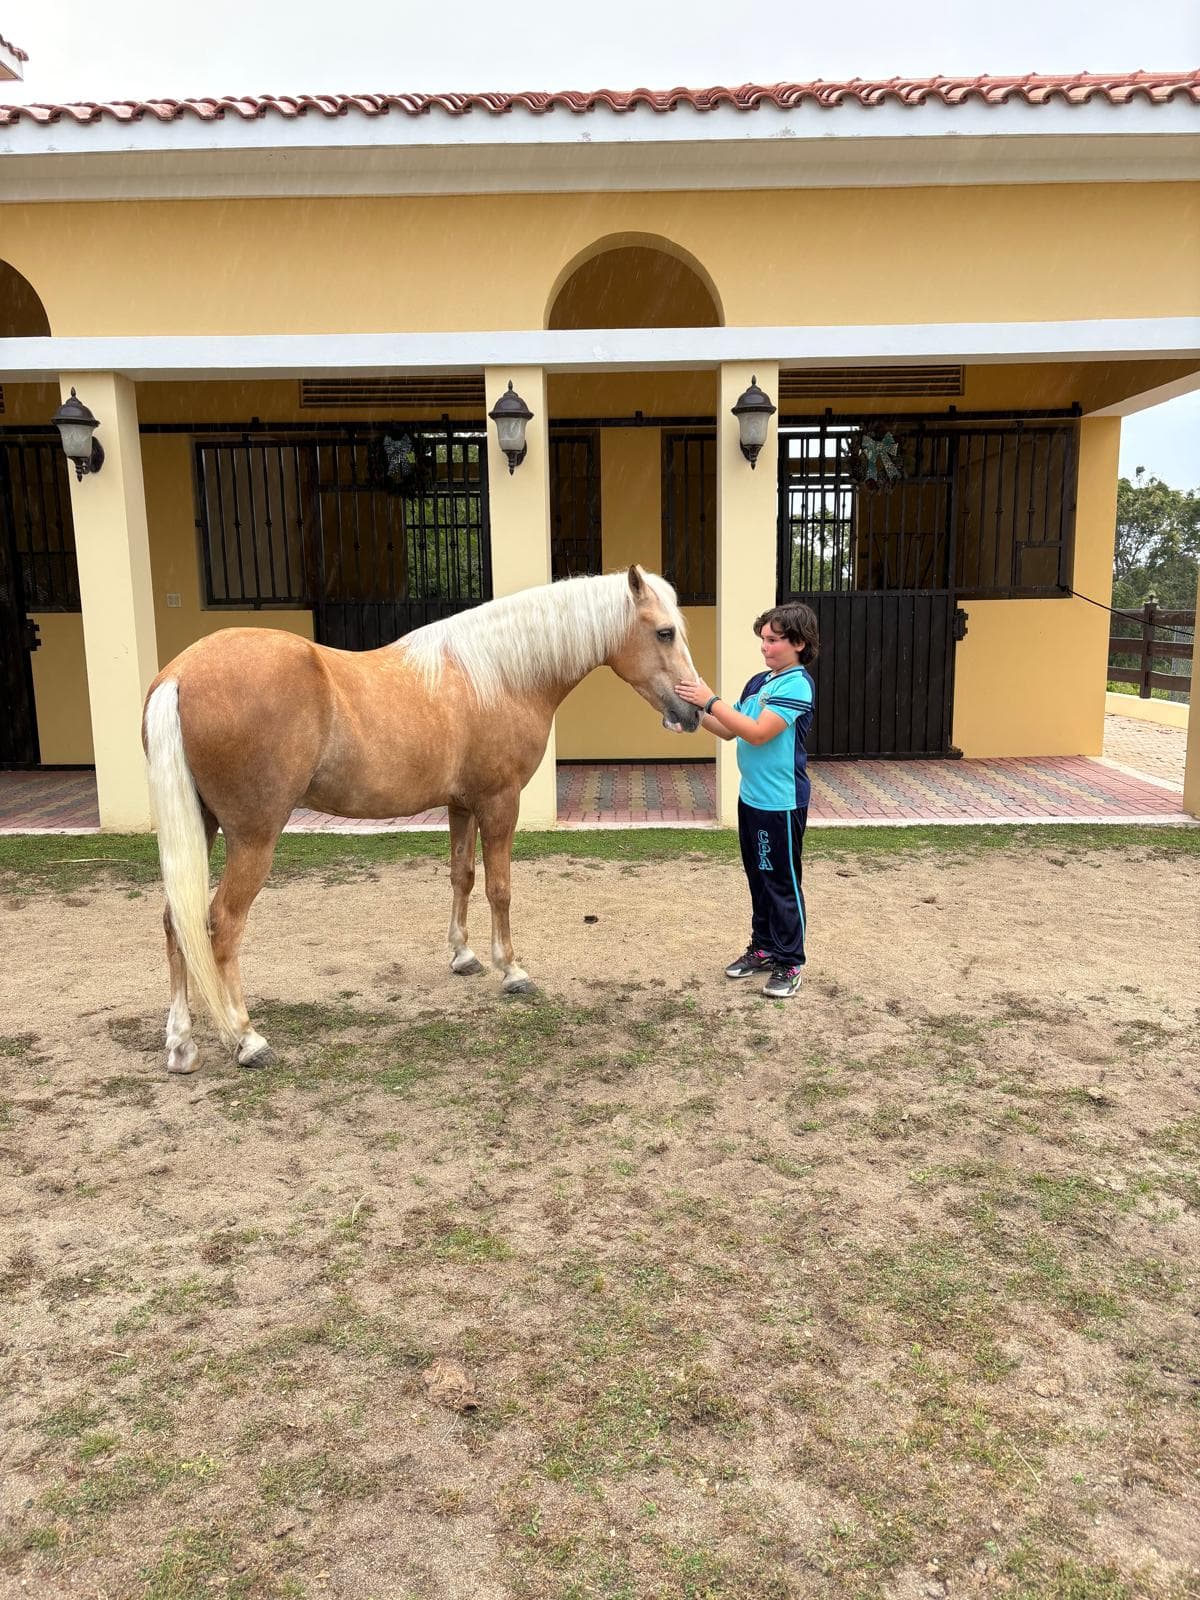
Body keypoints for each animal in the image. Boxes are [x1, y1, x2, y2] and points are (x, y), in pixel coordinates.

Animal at [141, 564, 701, 1075]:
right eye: (664, 632)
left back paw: (182, 1045)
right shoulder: (499, 802)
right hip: (253, 837)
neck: (497, 675)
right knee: (221, 924)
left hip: (203, 827)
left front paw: (463, 957)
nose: (693, 711)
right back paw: (246, 1038)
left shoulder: (461, 804)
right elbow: (500, 887)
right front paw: (511, 970)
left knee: (175, 921)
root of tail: (180, 674)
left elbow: (463, 876)